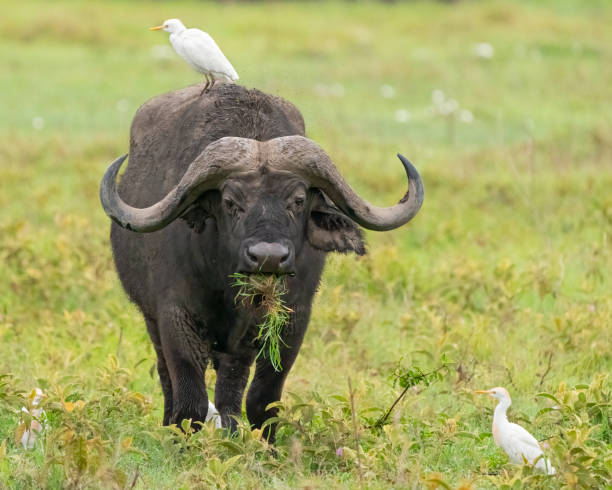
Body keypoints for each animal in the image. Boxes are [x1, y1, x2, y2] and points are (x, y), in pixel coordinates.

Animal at [100, 83, 424, 440]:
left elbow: (263, 398)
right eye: (231, 202)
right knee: (168, 378)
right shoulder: (175, 318)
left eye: (298, 200)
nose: (268, 256)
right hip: (151, 320)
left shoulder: (293, 321)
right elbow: (190, 401)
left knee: (230, 387)